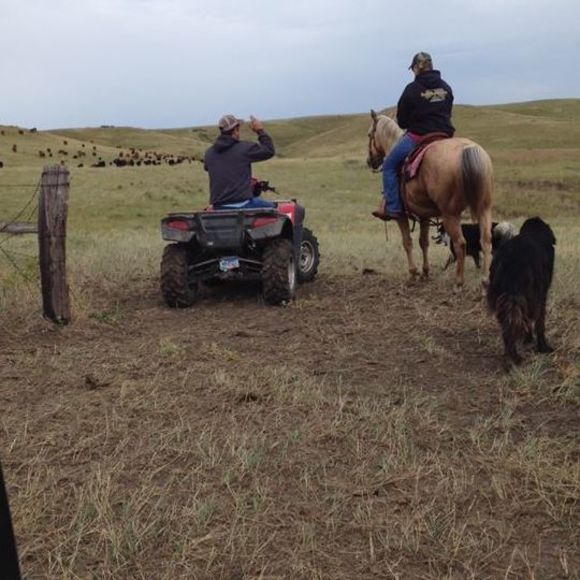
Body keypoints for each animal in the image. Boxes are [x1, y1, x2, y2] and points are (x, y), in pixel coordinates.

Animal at [366, 110, 494, 290]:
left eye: (369, 134)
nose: (370, 161)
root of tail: (468, 149)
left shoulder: (401, 216)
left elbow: (407, 242)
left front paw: (413, 274)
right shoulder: (424, 215)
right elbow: (424, 242)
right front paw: (425, 273)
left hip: (450, 214)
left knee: (460, 243)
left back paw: (459, 282)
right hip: (484, 208)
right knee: (486, 240)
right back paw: (485, 281)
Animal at [486, 217, 556, 366]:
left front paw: (527, 340)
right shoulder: (541, 297)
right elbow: (539, 323)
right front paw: (543, 347)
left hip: (504, 298)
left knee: (508, 327)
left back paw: (511, 356)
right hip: (525, 297)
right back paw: (516, 358)